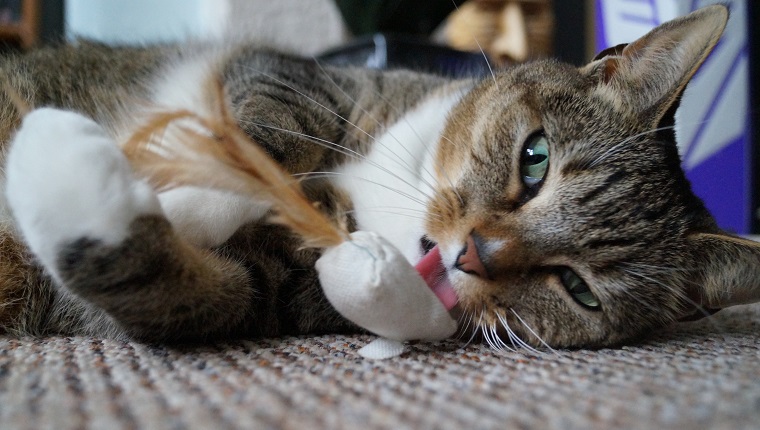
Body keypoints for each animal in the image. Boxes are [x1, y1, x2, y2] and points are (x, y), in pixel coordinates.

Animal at [0, 4, 756, 350]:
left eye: (578, 289)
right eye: (535, 159)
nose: (474, 254)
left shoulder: (268, 293)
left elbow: (190, 289)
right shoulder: (290, 77)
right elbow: (266, 138)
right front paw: (173, 174)